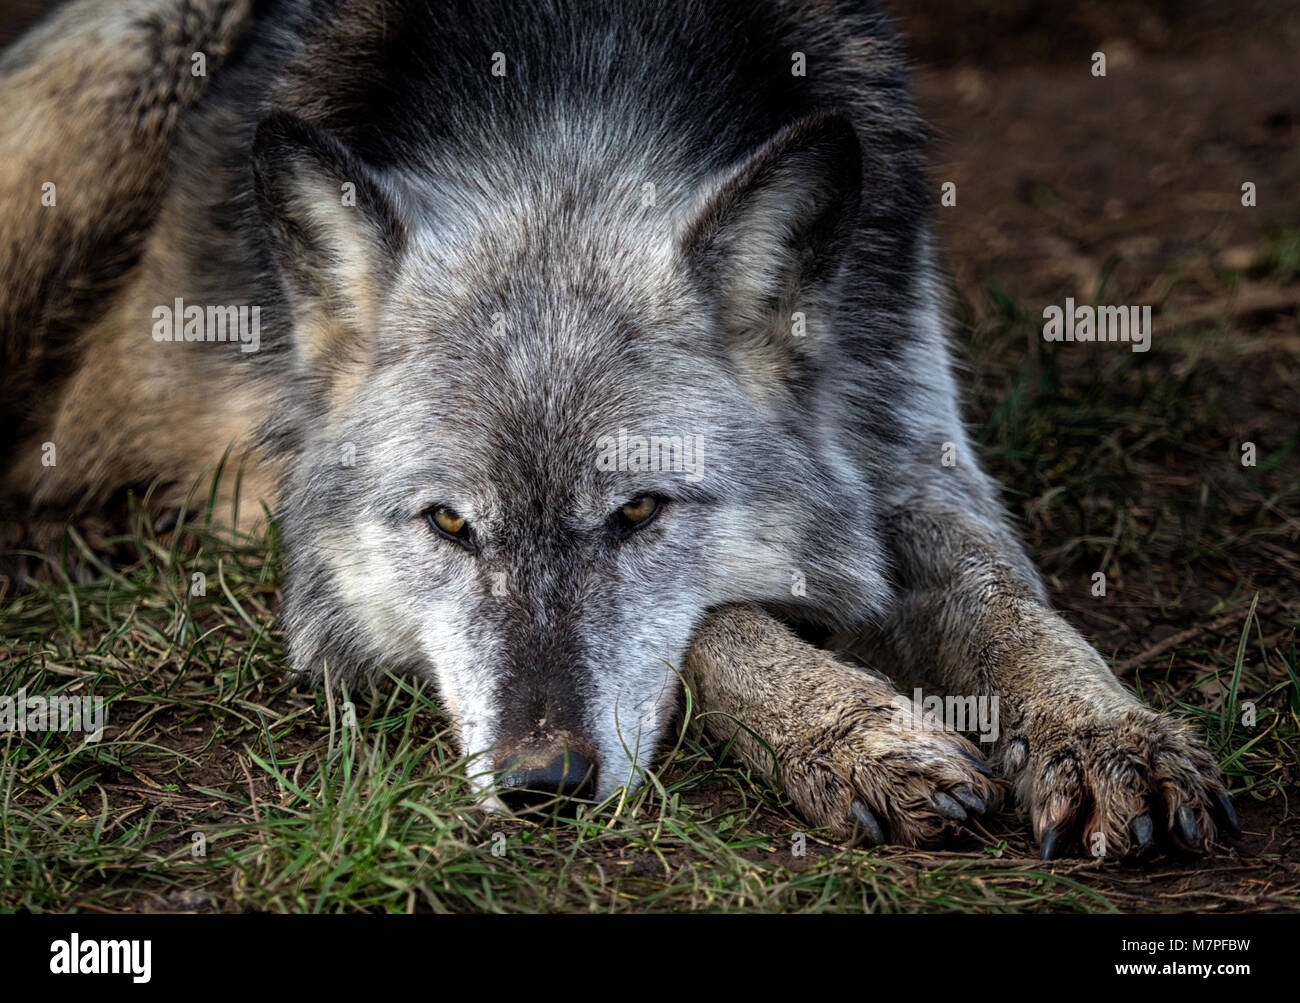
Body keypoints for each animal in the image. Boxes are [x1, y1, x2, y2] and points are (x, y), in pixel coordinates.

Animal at [0, 0, 1237, 858]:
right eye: (448, 524)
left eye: (639, 511)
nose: (542, 785)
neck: (576, 81)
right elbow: (719, 623)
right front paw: (859, 734)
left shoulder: (907, 440)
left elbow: (1007, 606)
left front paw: (1107, 734)